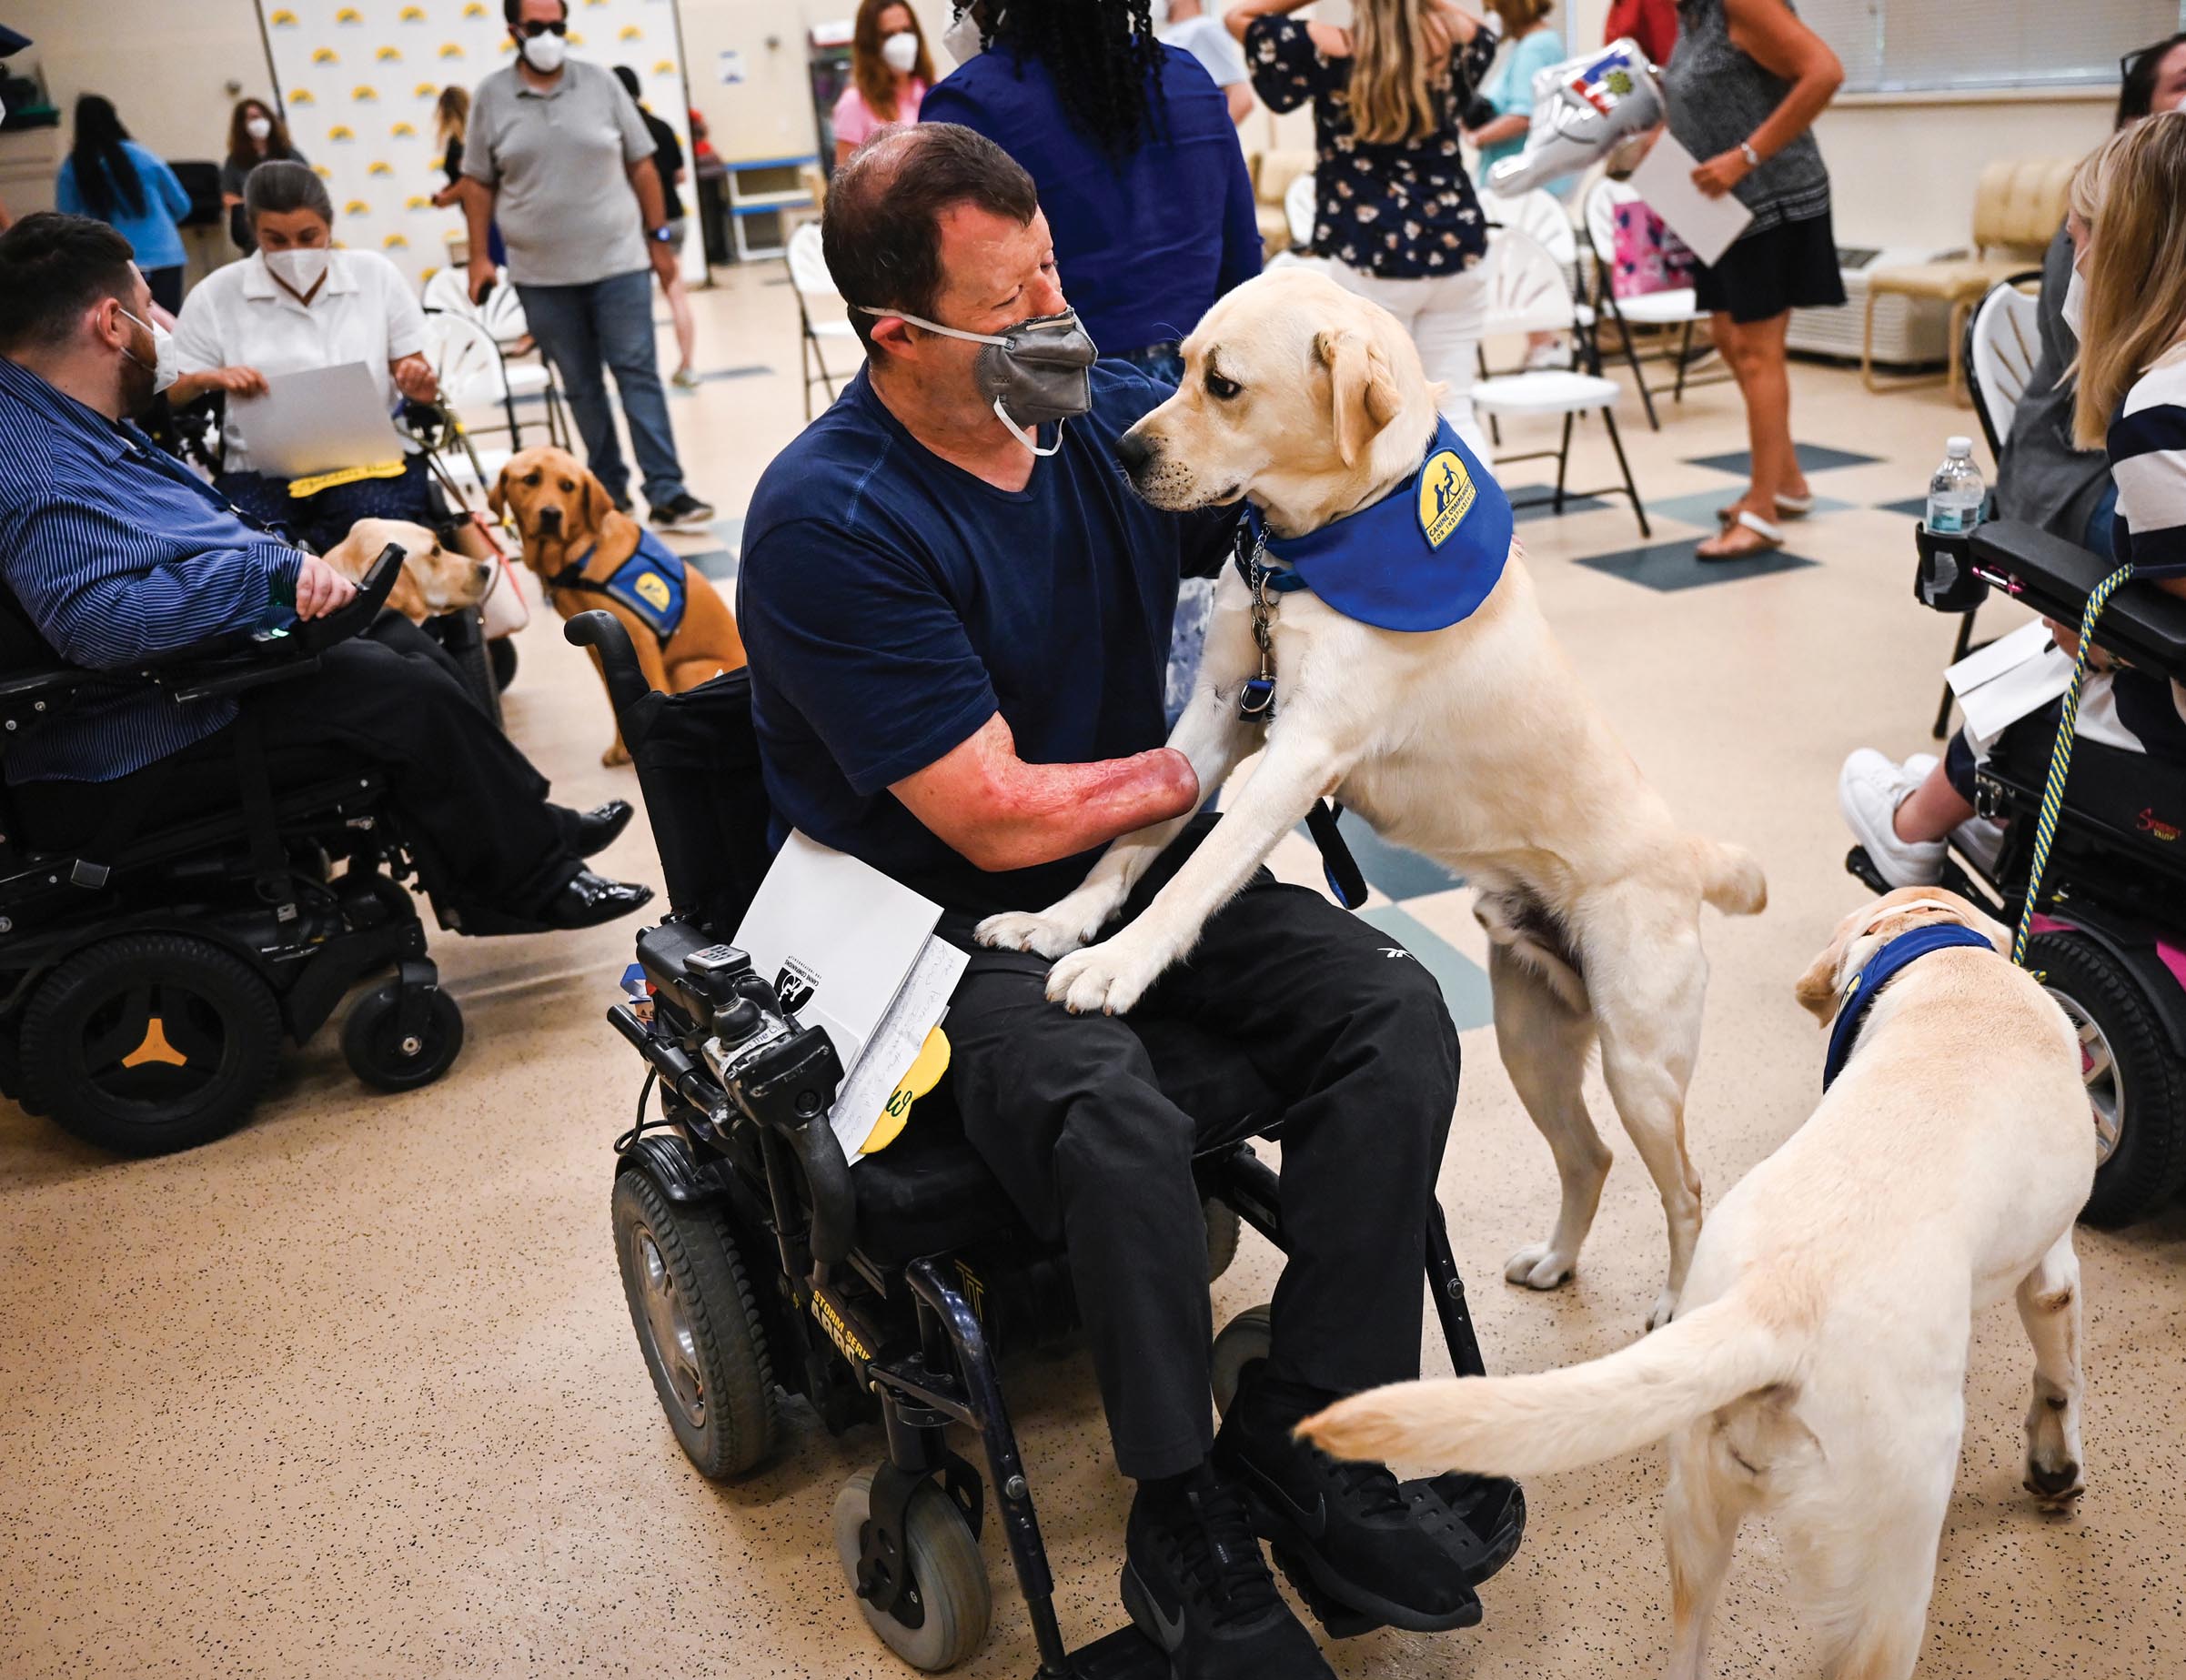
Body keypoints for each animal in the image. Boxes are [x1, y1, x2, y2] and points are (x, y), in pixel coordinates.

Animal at [983, 268, 1766, 1328]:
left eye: (1223, 385)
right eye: (1178, 365)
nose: (1124, 451)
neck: (1318, 547)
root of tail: (1688, 853)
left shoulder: (1298, 751)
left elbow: (1194, 876)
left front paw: (1116, 966)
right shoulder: (1219, 715)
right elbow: (1135, 838)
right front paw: (1058, 922)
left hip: (1641, 1057)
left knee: (1683, 1186)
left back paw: (1678, 1308)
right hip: (1529, 1039)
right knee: (1589, 1156)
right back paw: (1556, 1261)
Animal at [1303, 882, 2090, 1668]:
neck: (1949, 966)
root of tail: (1770, 1308)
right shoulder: (2054, 1262)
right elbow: (2057, 1370)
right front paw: (2055, 1465)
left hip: (1693, 1522)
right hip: (1886, 1585)